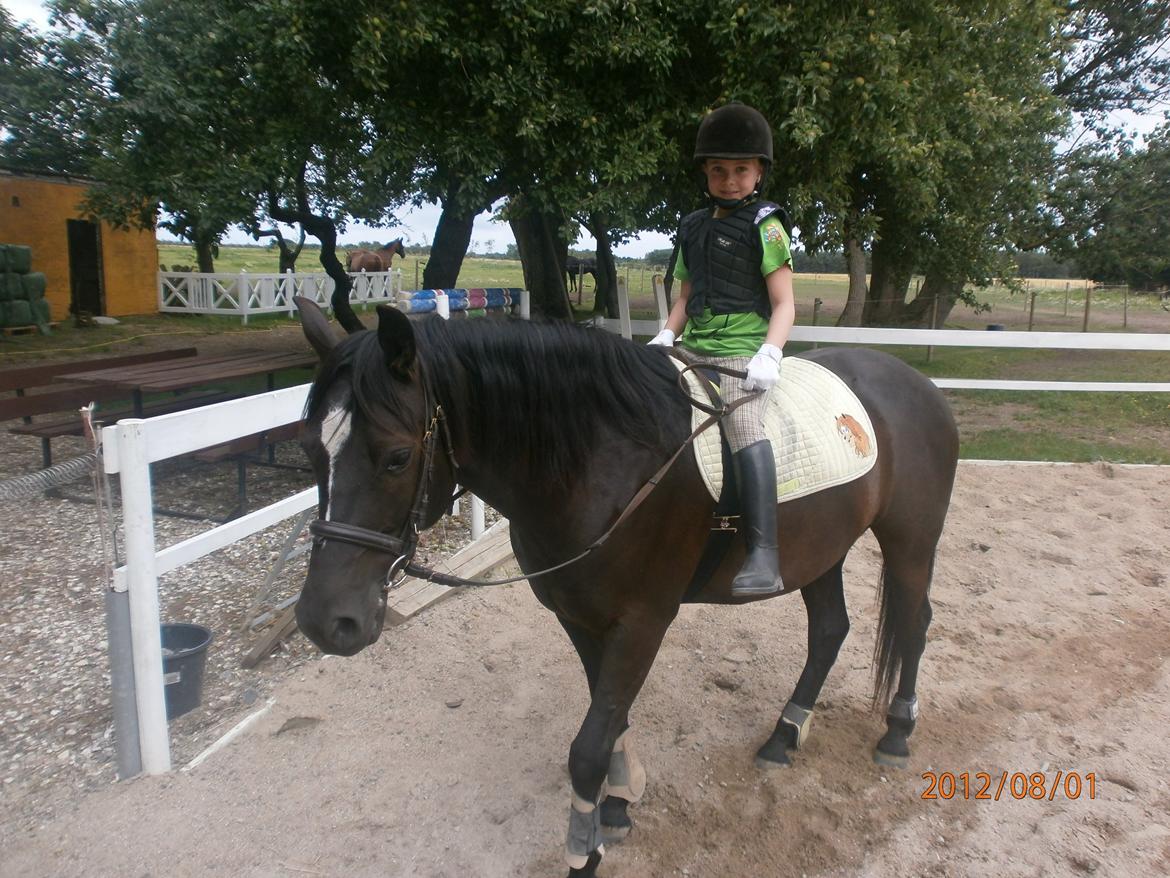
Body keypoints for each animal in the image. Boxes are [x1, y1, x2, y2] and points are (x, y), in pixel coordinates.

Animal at [292, 299, 959, 875]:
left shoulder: (642, 621)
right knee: (829, 630)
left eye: (397, 458)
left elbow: (589, 745)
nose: (324, 623)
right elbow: (609, 720)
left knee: (915, 621)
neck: (599, 462)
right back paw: (784, 735)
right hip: (821, 549)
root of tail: (916, 382)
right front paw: (616, 805)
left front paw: (583, 850)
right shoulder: (580, 617)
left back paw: (897, 731)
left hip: (910, 539)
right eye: (310, 453)